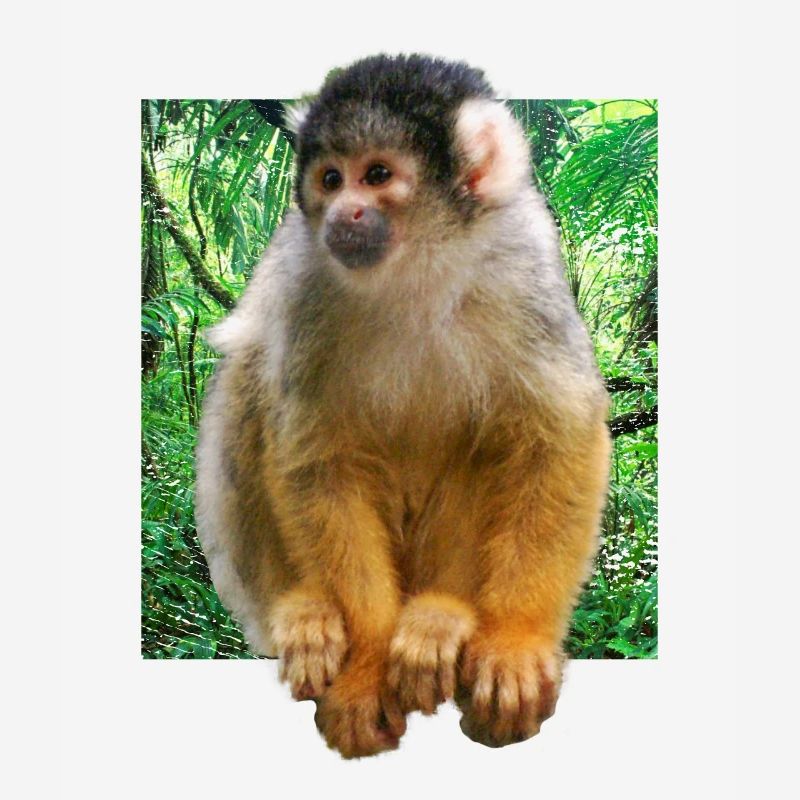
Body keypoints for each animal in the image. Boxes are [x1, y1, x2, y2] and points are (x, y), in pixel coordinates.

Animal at [195, 54, 611, 758]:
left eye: (378, 175)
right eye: (330, 179)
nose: (344, 213)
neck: (417, 267)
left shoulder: (522, 267)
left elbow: (557, 439)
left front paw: (515, 640)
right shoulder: (306, 282)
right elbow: (318, 461)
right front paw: (365, 669)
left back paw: (443, 616)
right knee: (252, 370)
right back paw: (301, 611)